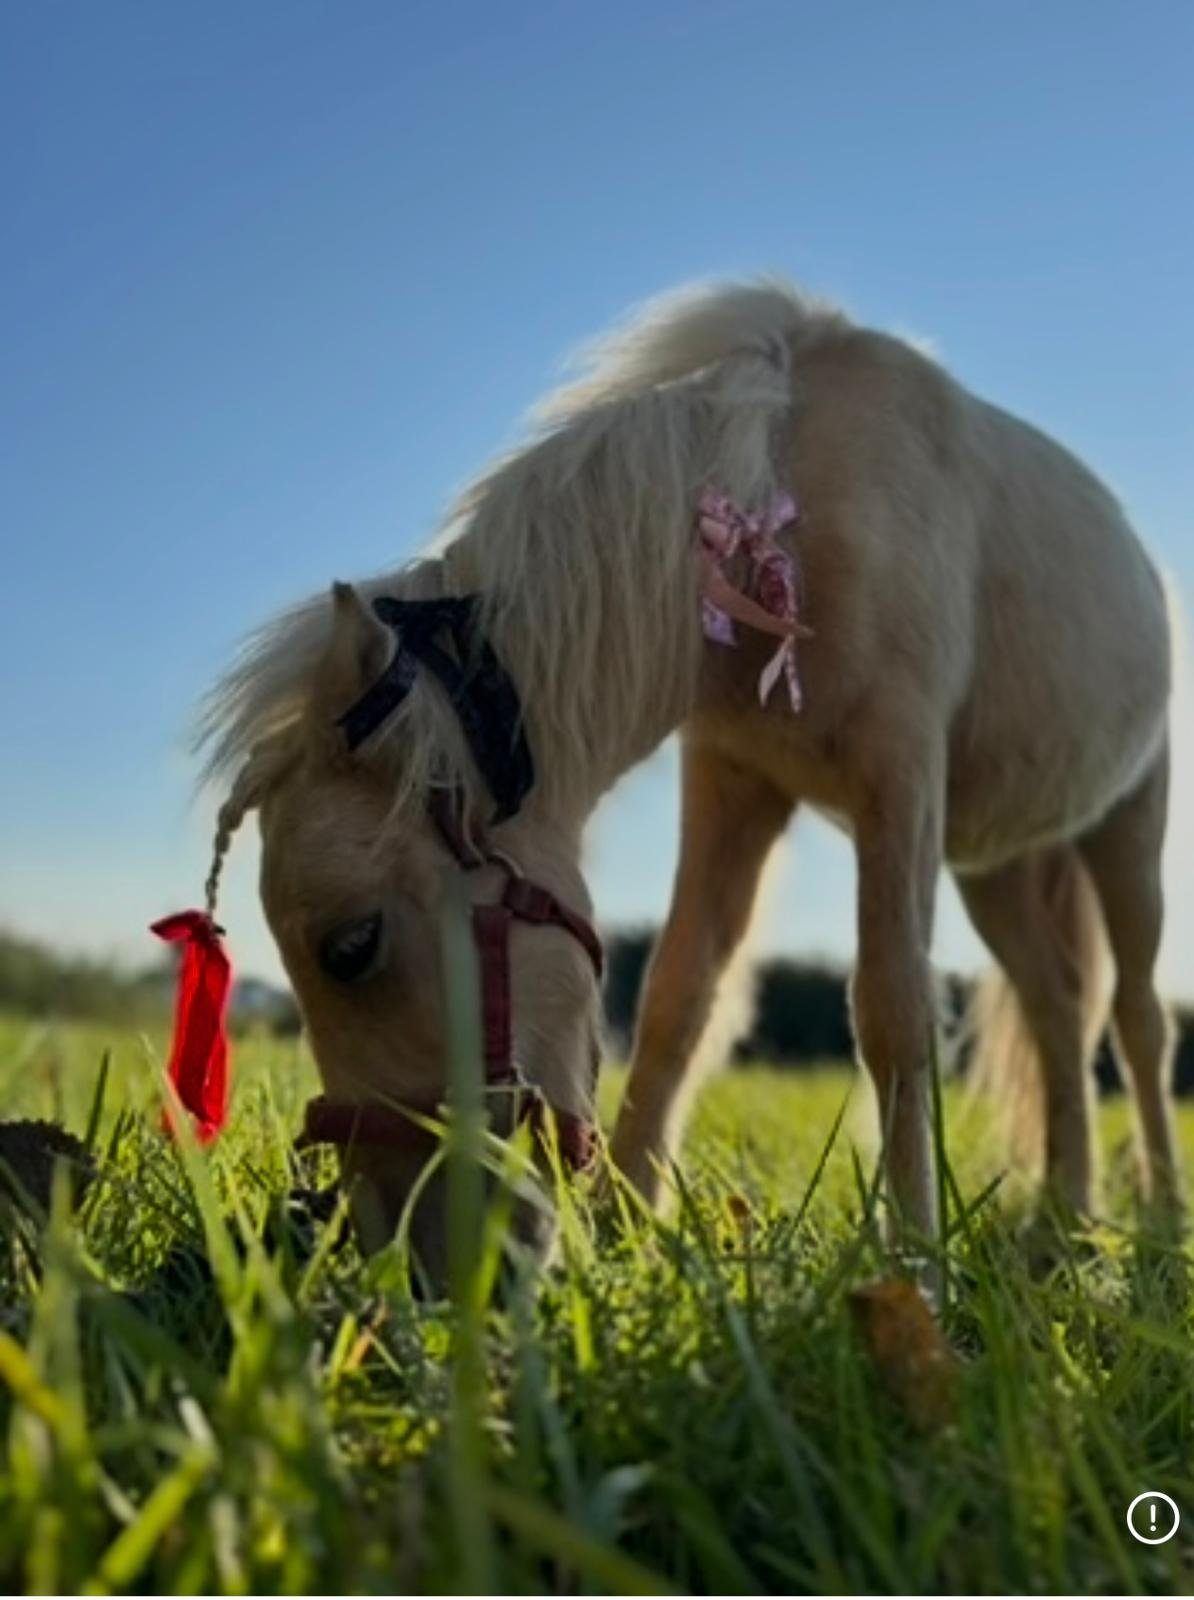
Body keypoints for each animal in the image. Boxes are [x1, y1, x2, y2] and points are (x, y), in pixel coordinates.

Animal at [199, 278, 1181, 1285]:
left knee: (1138, 1019)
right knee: (1060, 1014)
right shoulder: (735, 786)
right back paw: (1069, 1213)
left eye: (351, 946)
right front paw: (627, 1227)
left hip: (1128, 832)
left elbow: (894, 1012)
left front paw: (913, 1258)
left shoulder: (900, 775)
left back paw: (1160, 1209)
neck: (785, 493)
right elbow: (678, 996)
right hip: (999, 871)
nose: (425, 1264)